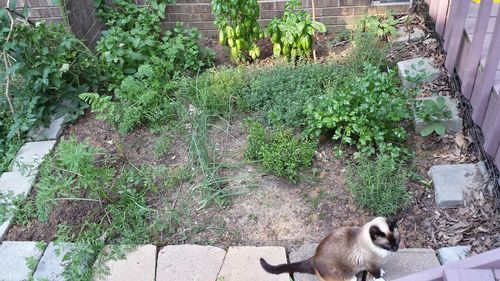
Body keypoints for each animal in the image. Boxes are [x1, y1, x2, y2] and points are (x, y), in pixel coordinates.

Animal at [260, 217, 400, 280]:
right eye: (387, 245)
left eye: (397, 241)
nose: (395, 249)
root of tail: (313, 258)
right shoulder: (370, 265)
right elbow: (376, 274)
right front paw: (380, 278)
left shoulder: (374, 264)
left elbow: (378, 270)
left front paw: (382, 271)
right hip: (347, 276)